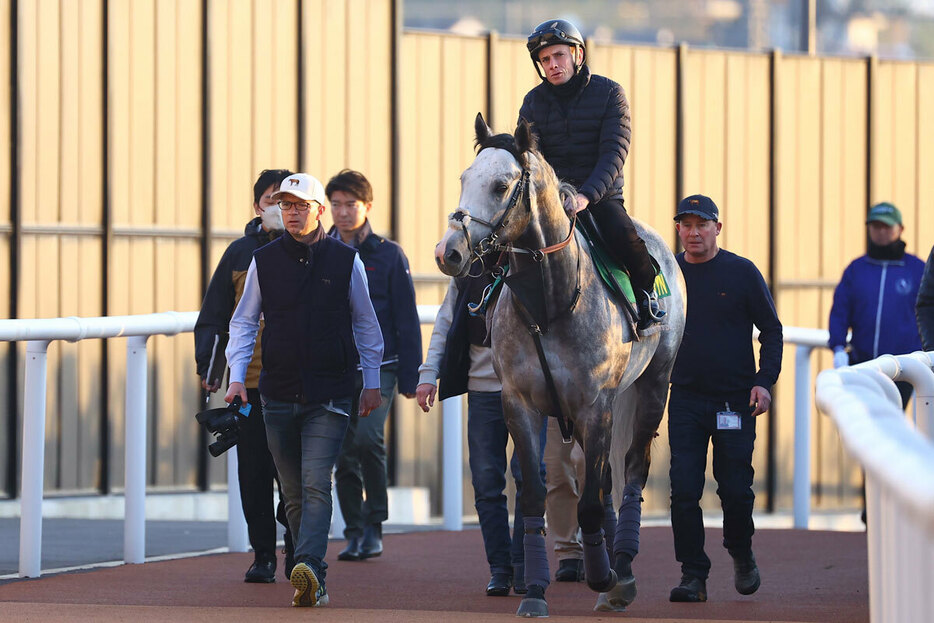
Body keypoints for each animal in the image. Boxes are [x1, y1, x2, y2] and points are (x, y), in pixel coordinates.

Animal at [436, 114, 688, 616]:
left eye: (500, 185)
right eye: (464, 178)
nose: (448, 251)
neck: (550, 302)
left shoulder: (597, 407)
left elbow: (591, 500)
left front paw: (604, 576)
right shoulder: (520, 404)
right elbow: (534, 497)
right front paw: (534, 590)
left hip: (654, 385)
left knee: (633, 469)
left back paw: (621, 571)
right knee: (606, 480)